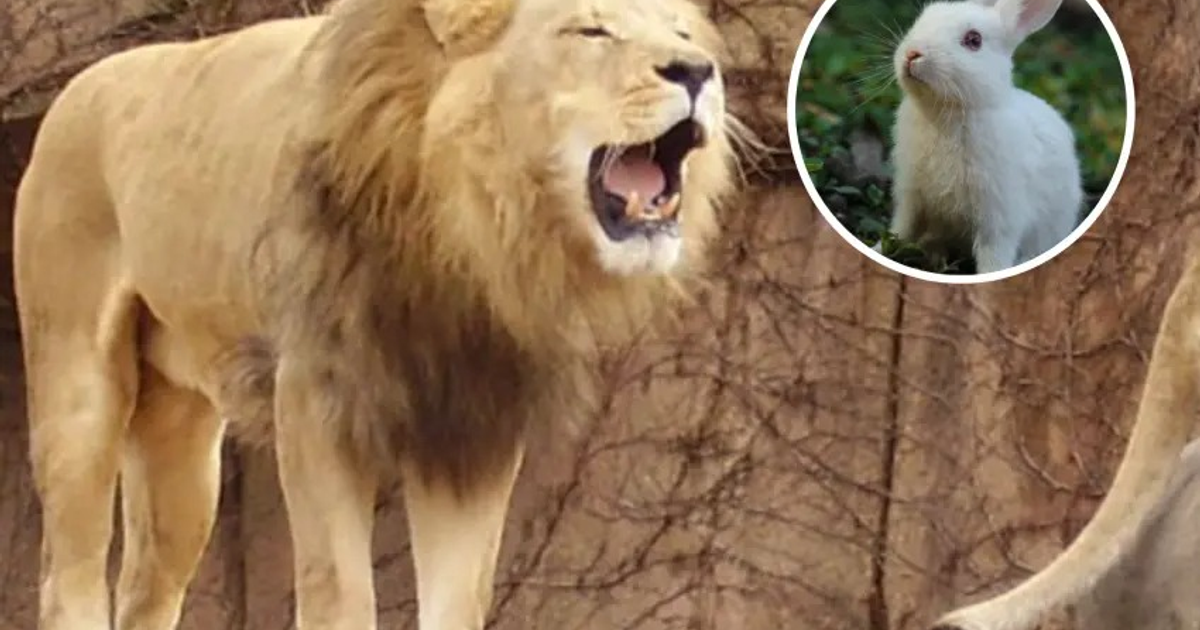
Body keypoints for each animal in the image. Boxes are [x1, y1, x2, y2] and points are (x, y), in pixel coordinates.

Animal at [12, 0, 739, 628]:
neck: (463, 234)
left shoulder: (472, 427)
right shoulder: (314, 401)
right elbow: (340, 593)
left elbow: (458, 600)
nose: (697, 70)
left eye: (682, 34)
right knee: (67, 578)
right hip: (78, 394)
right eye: (591, 31)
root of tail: (73, 89)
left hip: (183, 448)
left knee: (146, 590)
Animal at [885, 0, 1083, 275]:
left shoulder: (998, 217)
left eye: (973, 40)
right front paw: (878, 249)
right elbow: (901, 230)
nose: (912, 53)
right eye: (921, 19)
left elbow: (993, 257)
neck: (946, 113)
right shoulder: (911, 195)